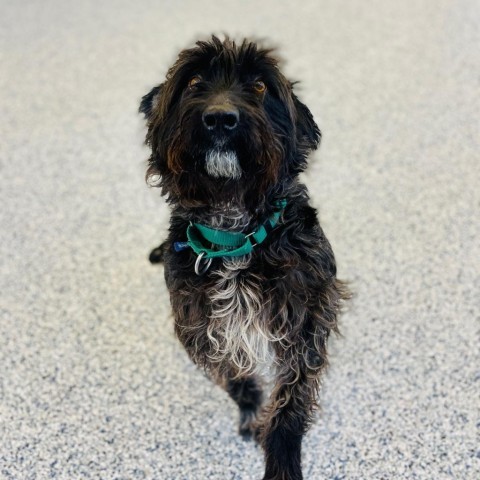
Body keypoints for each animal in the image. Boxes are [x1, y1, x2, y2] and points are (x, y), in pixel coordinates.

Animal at [139, 36, 348, 480]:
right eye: (194, 81)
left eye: (260, 86)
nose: (220, 119)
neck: (234, 232)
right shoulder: (197, 327)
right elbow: (232, 374)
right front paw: (251, 409)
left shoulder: (310, 316)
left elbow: (292, 397)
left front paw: (282, 455)